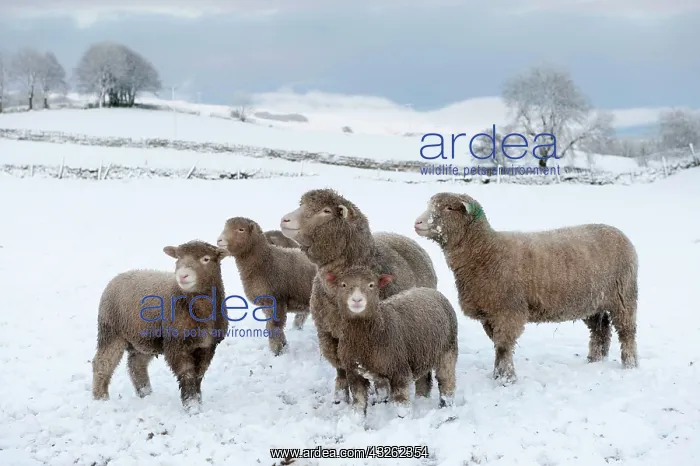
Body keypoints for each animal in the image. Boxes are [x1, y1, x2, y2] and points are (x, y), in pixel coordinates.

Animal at [92, 240, 230, 412]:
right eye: (178, 258)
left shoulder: (207, 346)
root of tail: (119, 276)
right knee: (102, 363)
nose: (183, 275)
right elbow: (187, 375)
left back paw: (145, 393)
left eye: (206, 259)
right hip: (111, 331)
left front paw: (197, 401)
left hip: (143, 339)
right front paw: (191, 406)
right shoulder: (175, 345)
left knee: (136, 364)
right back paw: (100, 398)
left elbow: (198, 375)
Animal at [217, 217, 316, 355]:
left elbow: (273, 327)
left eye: (241, 229)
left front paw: (277, 351)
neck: (266, 261)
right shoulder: (266, 304)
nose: (219, 240)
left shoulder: (277, 301)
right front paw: (283, 346)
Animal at [279, 188, 438, 404]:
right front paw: (340, 396)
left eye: (326, 211)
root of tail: (403, 237)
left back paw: (422, 394)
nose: (285, 219)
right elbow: (340, 368)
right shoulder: (328, 333)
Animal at [325, 266, 458, 418]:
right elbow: (359, 402)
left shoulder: (399, 370)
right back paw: (421, 398)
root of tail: (430, 290)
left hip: (448, 349)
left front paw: (402, 418)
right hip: (422, 352)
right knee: (424, 379)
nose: (357, 300)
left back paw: (446, 407)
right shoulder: (354, 372)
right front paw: (357, 419)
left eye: (371, 285)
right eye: (343, 284)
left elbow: (401, 403)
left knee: (446, 380)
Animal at [413, 192, 639, 384]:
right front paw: (498, 375)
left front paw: (506, 379)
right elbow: (498, 346)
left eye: (449, 208)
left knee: (626, 332)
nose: (418, 222)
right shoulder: (490, 313)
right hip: (593, 302)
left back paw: (630, 364)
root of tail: (619, 232)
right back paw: (594, 359)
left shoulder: (508, 311)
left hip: (624, 296)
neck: (486, 251)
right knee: (600, 330)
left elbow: (504, 347)